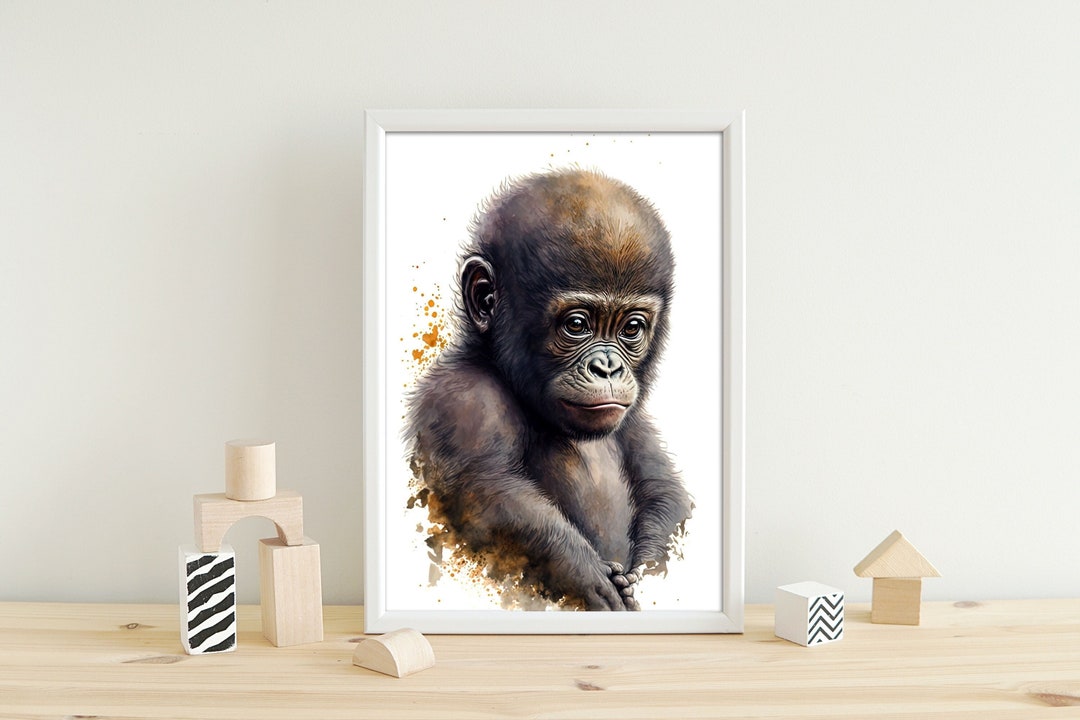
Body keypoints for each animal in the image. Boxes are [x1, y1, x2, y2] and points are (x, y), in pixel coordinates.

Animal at [405, 167, 692, 611]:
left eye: (631, 328)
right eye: (577, 324)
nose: (607, 367)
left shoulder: (636, 420)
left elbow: (667, 493)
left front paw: (643, 579)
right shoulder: (459, 399)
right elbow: (489, 494)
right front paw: (591, 581)